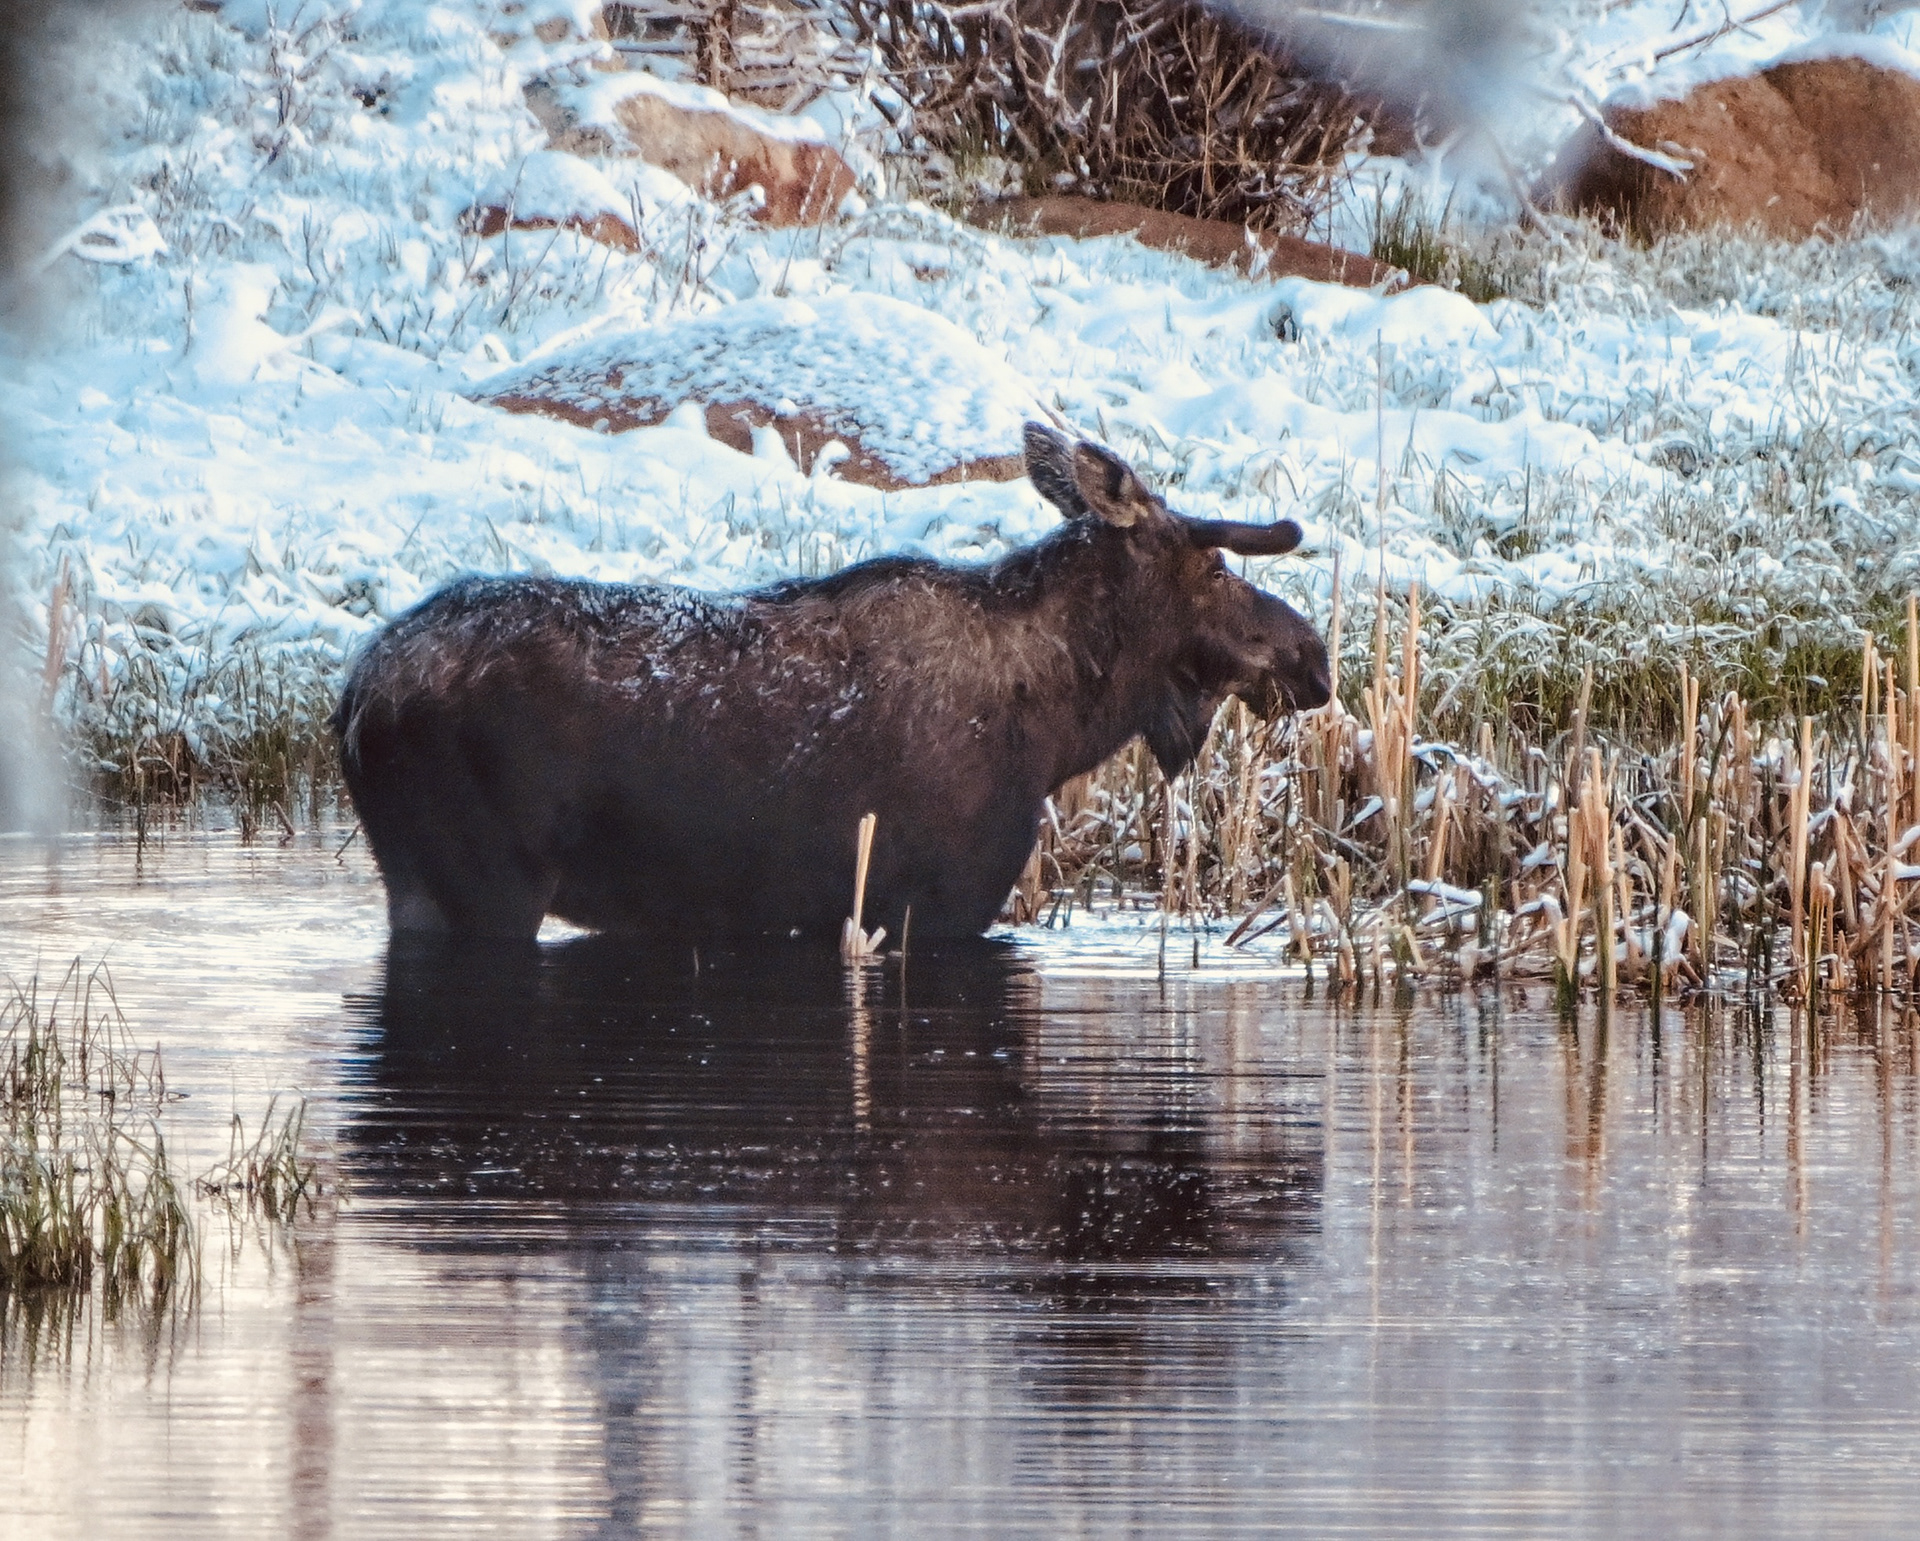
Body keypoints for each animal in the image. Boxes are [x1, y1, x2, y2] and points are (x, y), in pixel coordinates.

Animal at [333, 424, 1331, 941]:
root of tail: (352, 702)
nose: (1312, 657)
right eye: (1213, 565)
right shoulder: (941, 903)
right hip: (480, 885)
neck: (1059, 726)